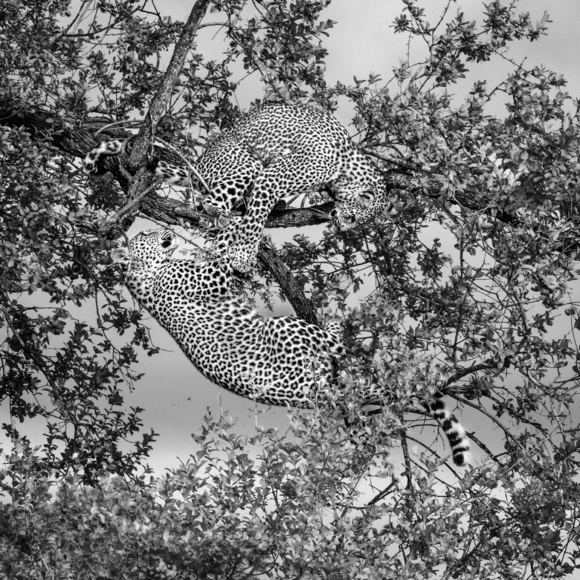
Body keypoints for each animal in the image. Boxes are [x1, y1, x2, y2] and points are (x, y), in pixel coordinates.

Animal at [86, 102, 392, 274]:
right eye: (353, 218)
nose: (343, 227)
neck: (347, 163)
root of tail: (200, 162)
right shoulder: (272, 178)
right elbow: (255, 224)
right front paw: (245, 255)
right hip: (247, 163)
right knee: (208, 205)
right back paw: (226, 221)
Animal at [112, 228, 472, 466]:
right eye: (145, 234)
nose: (162, 231)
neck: (144, 274)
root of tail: (317, 390)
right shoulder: (211, 277)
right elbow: (227, 255)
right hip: (285, 326)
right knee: (335, 342)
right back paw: (340, 314)